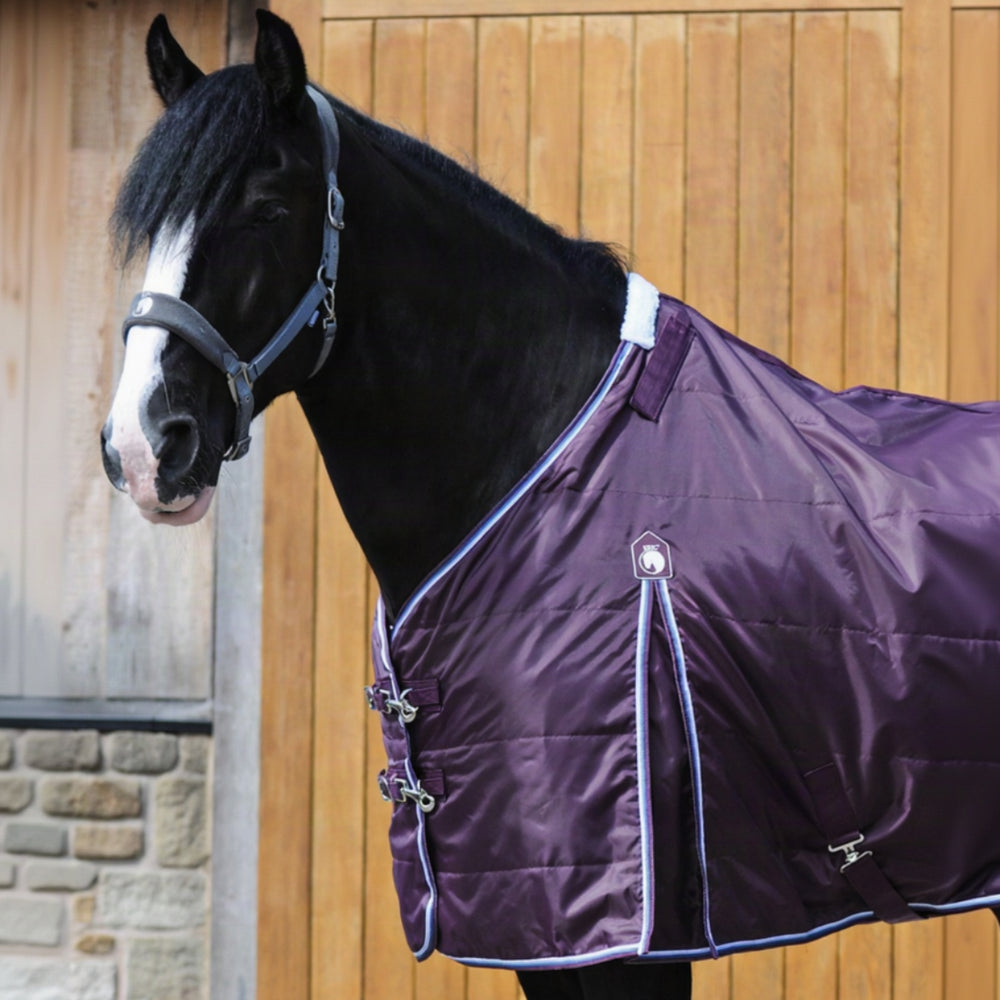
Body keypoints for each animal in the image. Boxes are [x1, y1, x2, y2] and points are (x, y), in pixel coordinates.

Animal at [102, 11, 1000, 1000]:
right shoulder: (541, 932)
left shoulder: (620, 937)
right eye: (150, 226)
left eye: (266, 210)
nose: (143, 446)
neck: (546, 458)